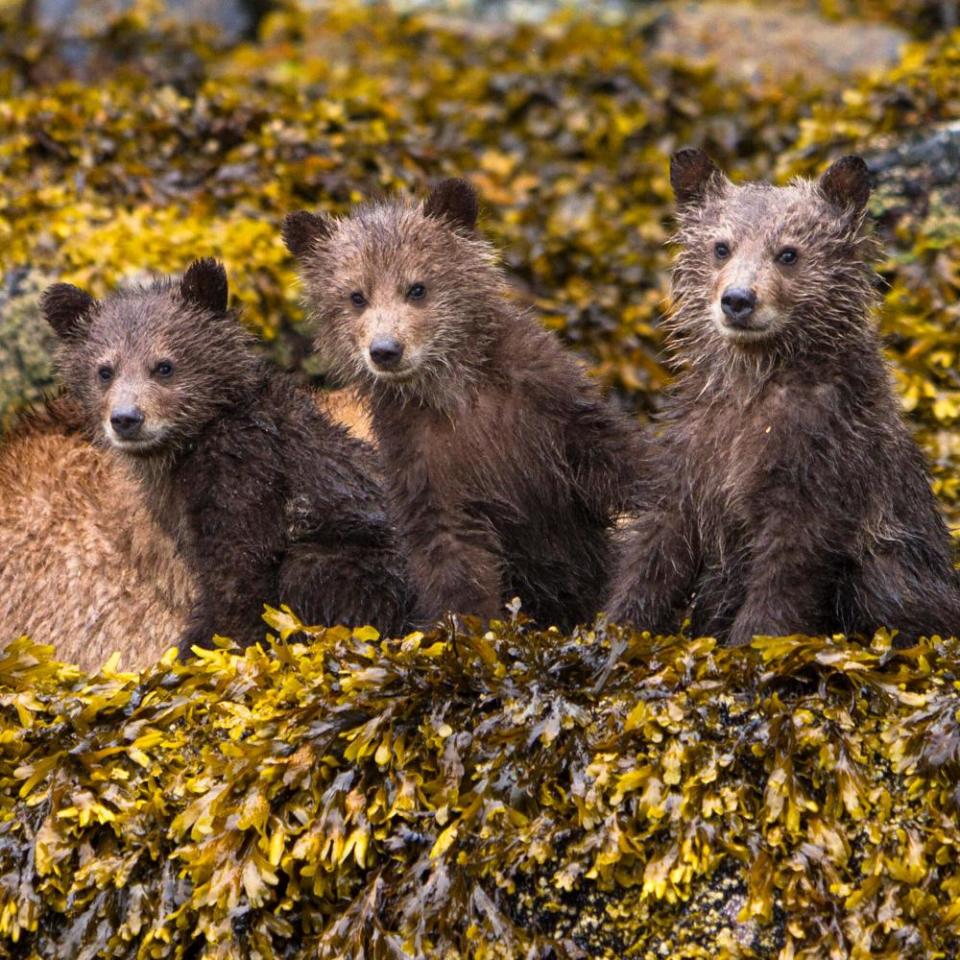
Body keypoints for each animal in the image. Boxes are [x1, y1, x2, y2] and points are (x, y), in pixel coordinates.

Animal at [284, 180, 644, 632]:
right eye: (356, 296)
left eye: (417, 287)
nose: (385, 350)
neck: (452, 391)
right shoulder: (422, 456)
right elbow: (453, 554)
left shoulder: (547, 399)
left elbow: (611, 453)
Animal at [608, 150, 960, 644]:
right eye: (721, 247)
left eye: (788, 253)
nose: (738, 299)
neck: (755, 386)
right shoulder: (696, 447)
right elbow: (658, 541)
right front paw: (611, 627)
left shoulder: (822, 456)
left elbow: (789, 565)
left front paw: (750, 643)